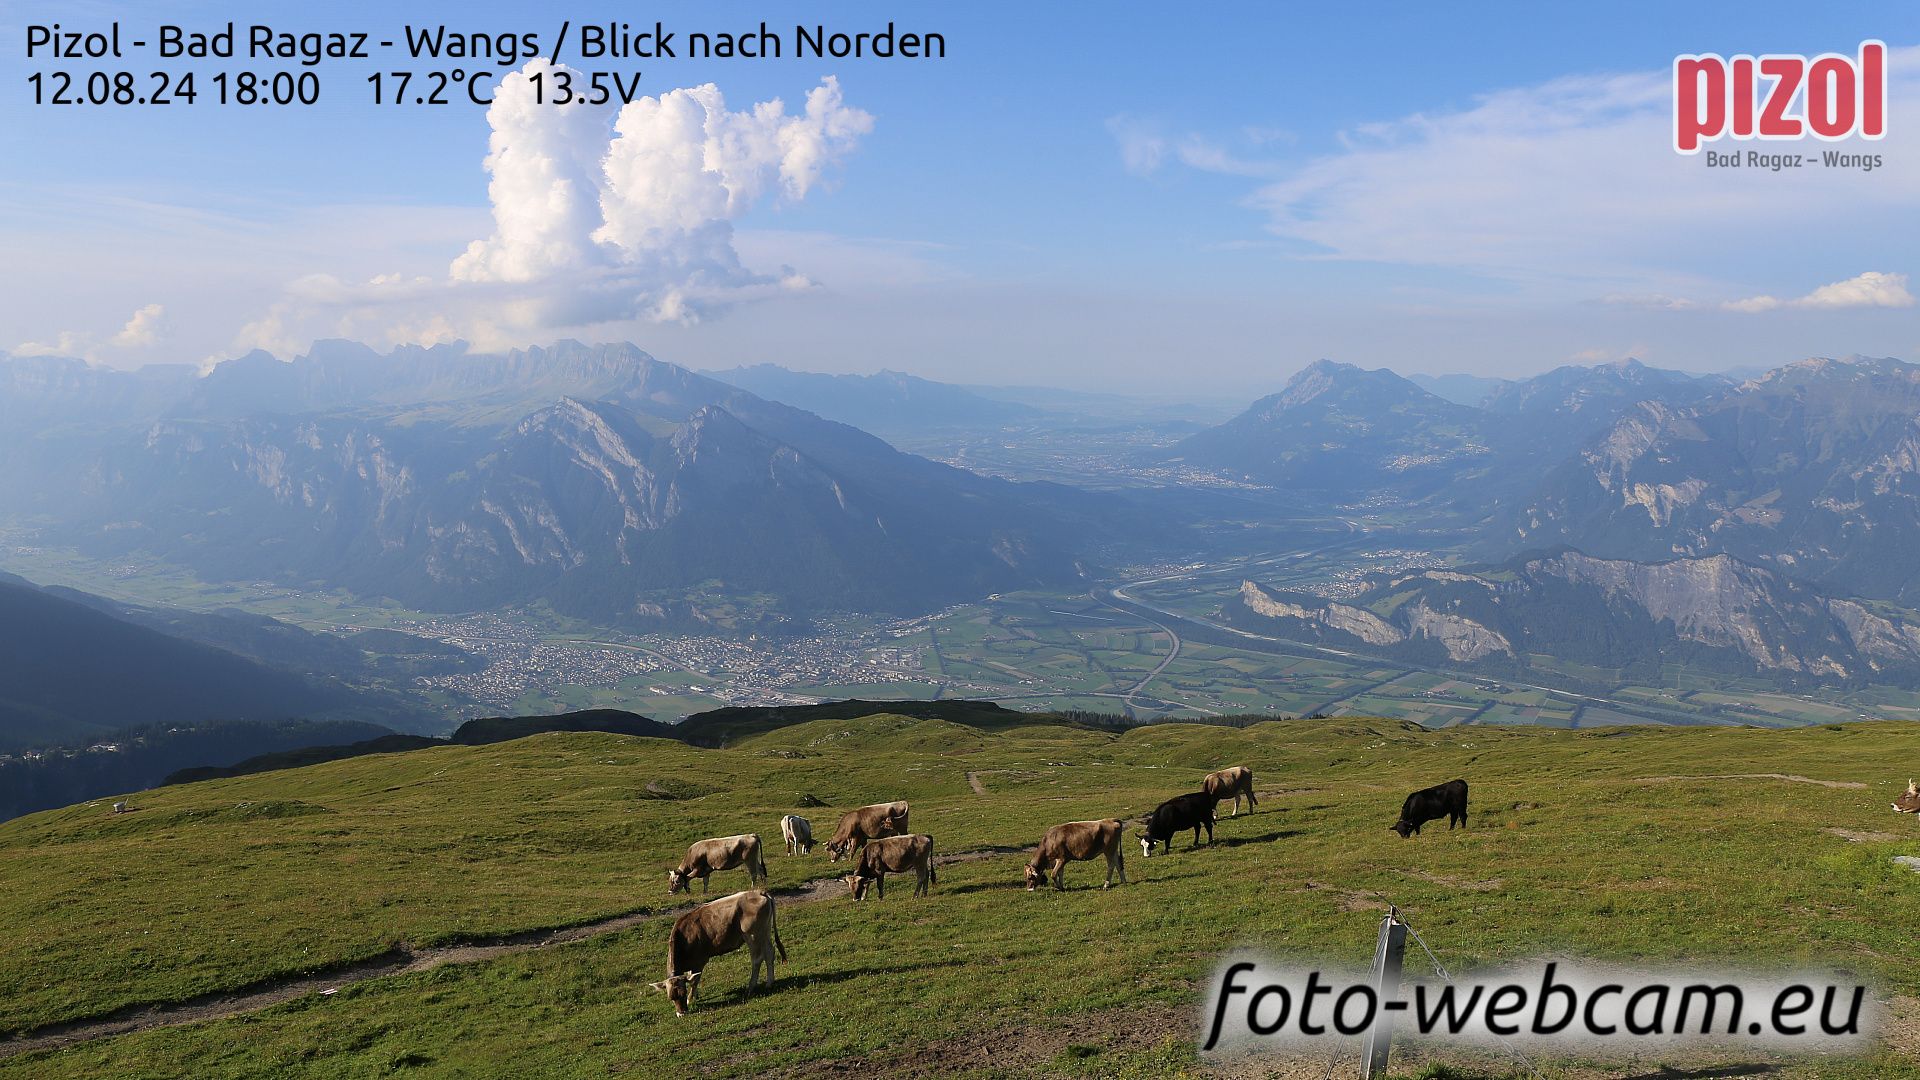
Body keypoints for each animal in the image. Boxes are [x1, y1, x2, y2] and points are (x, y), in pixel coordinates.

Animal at [648, 883, 783, 1006]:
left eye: (683, 993)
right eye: (671, 997)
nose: (681, 1013)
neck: (685, 936)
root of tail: (759, 892)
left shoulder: (700, 961)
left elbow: (694, 980)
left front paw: (690, 999)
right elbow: (691, 977)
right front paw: (696, 995)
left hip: (752, 936)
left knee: (757, 959)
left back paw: (751, 987)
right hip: (764, 932)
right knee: (769, 953)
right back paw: (769, 983)